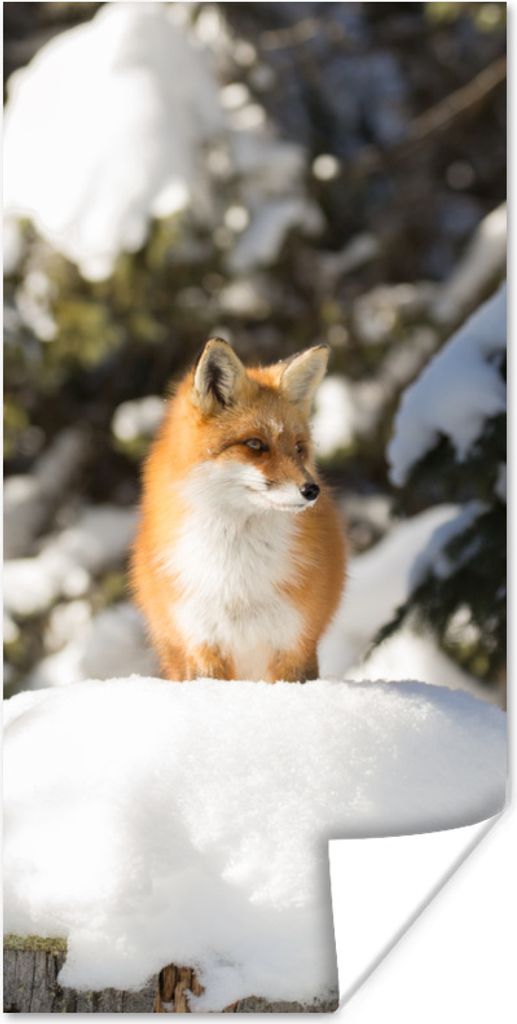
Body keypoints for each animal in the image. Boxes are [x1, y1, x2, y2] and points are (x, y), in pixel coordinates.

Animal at [131, 338, 346, 683]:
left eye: (298, 448)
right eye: (255, 444)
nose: (312, 490)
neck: (236, 578)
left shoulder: (294, 642)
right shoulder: (203, 642)